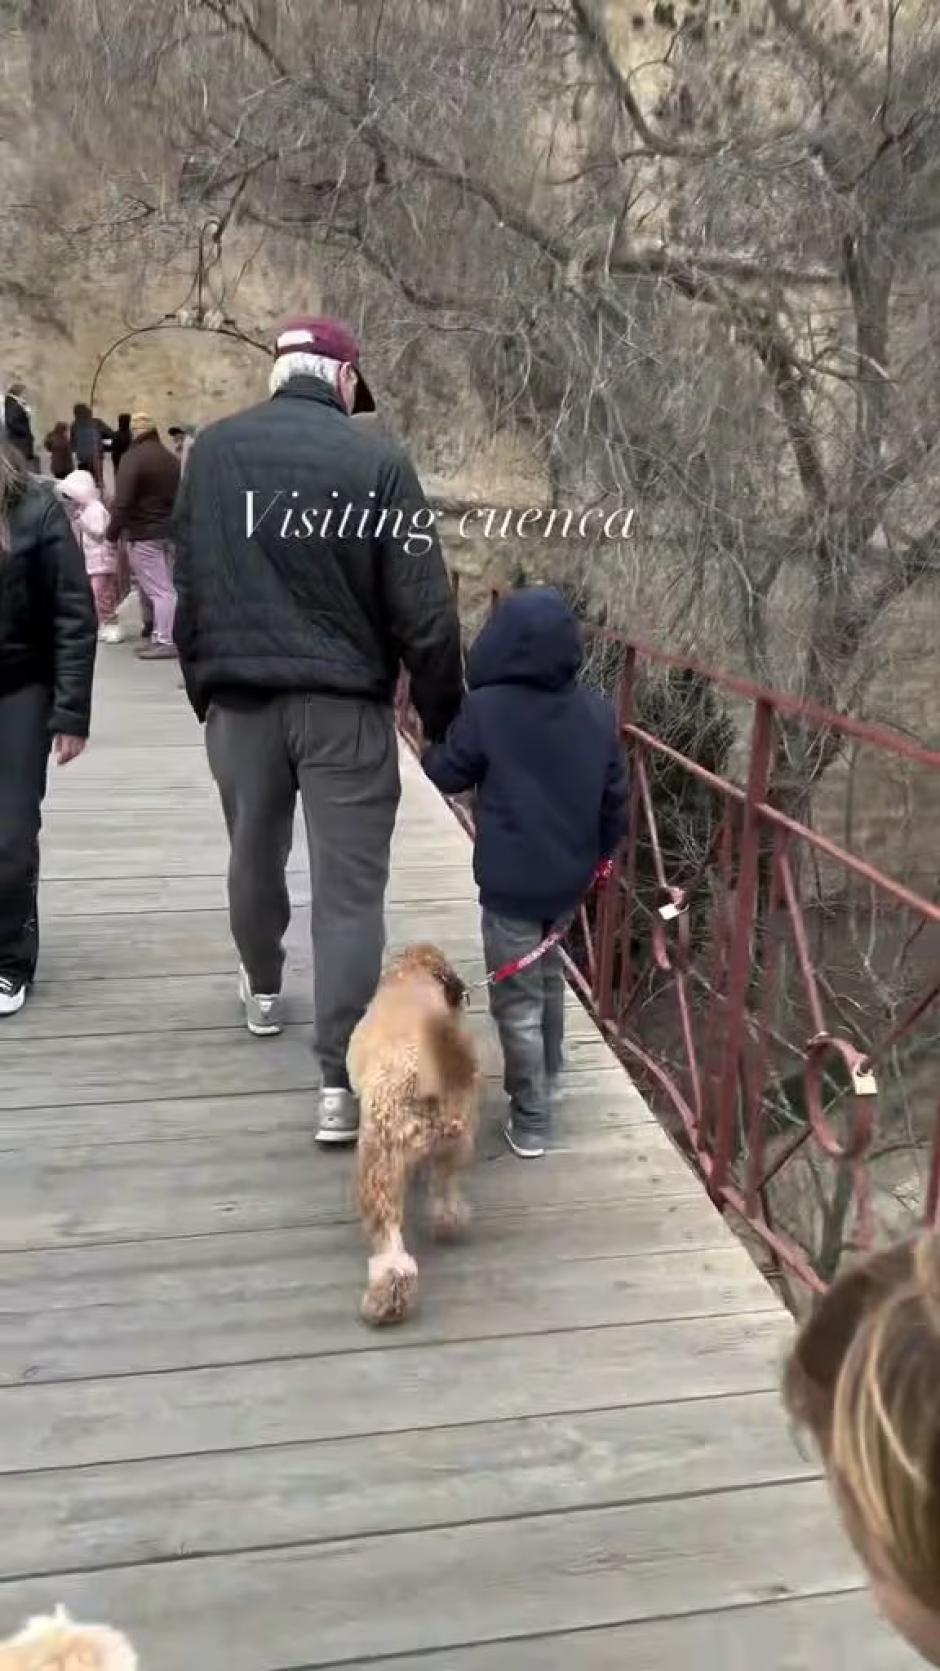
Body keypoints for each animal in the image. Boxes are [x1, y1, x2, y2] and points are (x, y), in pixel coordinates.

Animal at [347, 949, 480, 1323]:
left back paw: (385, 1301)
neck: (414, 974)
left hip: (379, 1163)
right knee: (446, 1197)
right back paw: (449, 1223)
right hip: (455, 1144)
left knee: (392, 1253)